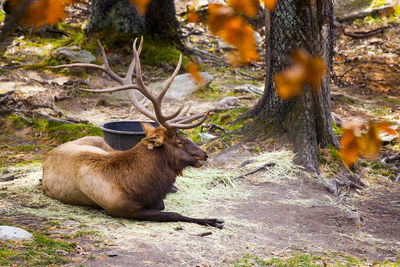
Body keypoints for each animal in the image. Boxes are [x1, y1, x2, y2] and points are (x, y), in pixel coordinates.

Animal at [43, 37, 225, 230]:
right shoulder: (121, 208)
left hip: (105, 145)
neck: (137, 186)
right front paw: (213, 220)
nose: (204, 154)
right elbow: (172, 213)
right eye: (180, 141)